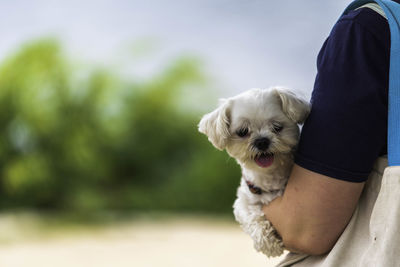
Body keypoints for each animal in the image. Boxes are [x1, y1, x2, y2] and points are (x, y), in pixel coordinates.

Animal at [199, 87, 310, 258]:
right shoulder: (243, 201)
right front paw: (269, 244)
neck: (269, 177)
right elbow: (251, 215)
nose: (262, 141)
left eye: (277, 127)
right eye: (242, 131)